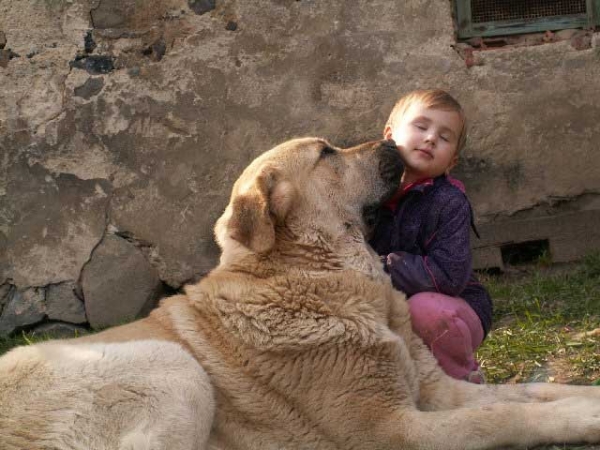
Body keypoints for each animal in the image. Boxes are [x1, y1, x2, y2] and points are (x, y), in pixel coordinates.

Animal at [1, 138, 600, 450]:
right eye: (327, 153)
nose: (392, 140)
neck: (320, 274)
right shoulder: (394, 430)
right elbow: (502, 418)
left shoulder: (437, 391)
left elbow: (530, 394)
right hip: (170, 366)